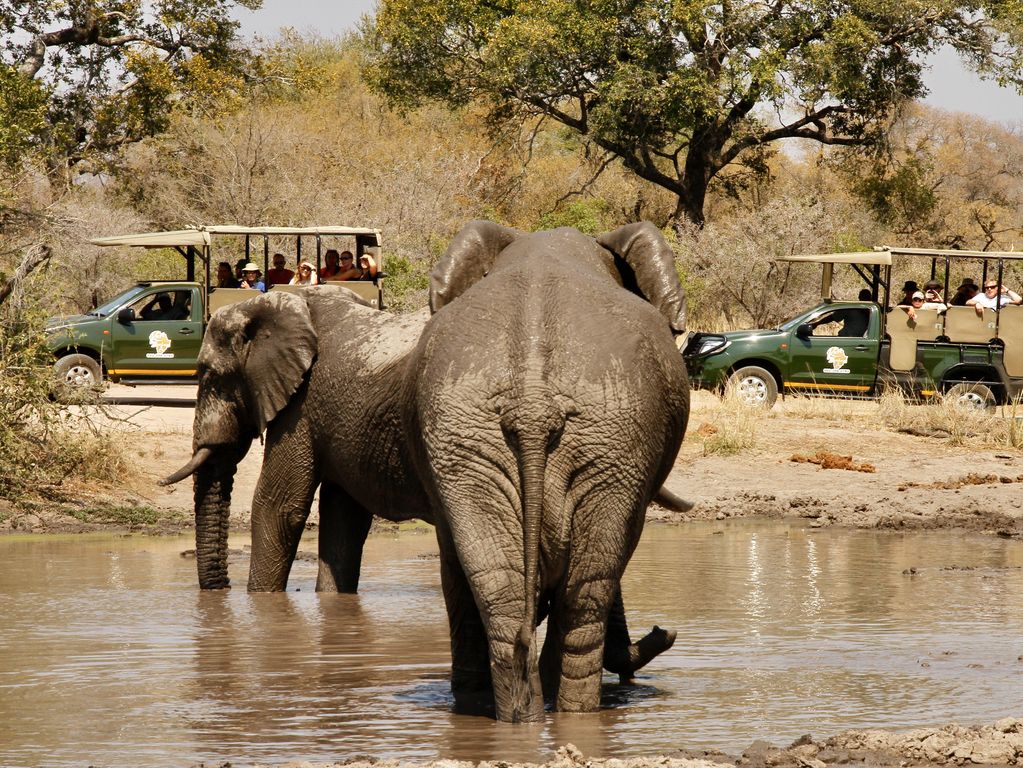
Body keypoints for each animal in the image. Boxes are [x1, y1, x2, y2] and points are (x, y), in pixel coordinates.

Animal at [403, 220, 691, 719]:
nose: (665, 631)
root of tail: (533, 402)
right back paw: (570, 710)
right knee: (588, 592)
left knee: (502, 592)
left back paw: (522, 718)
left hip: (467, 438)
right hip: (612, 436)